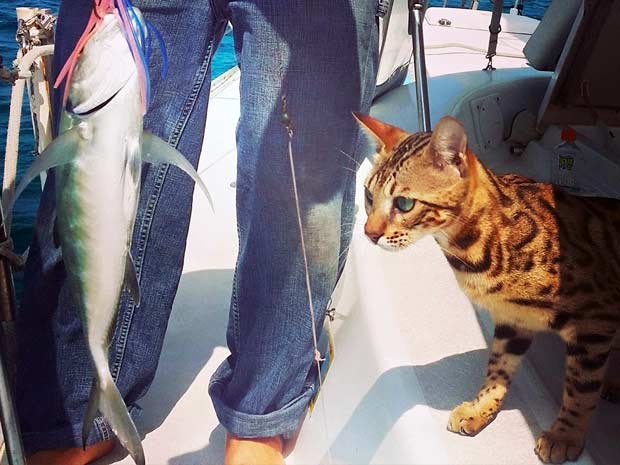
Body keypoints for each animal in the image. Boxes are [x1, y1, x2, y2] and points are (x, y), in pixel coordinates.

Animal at [356, 113, 620, 464]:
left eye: (404, 203)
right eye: (369, 196)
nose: (368, 233)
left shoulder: (596, 319)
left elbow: (581, 387)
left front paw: (565, 434)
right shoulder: (513, 320)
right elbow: (498, 367)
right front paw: (481, 408)